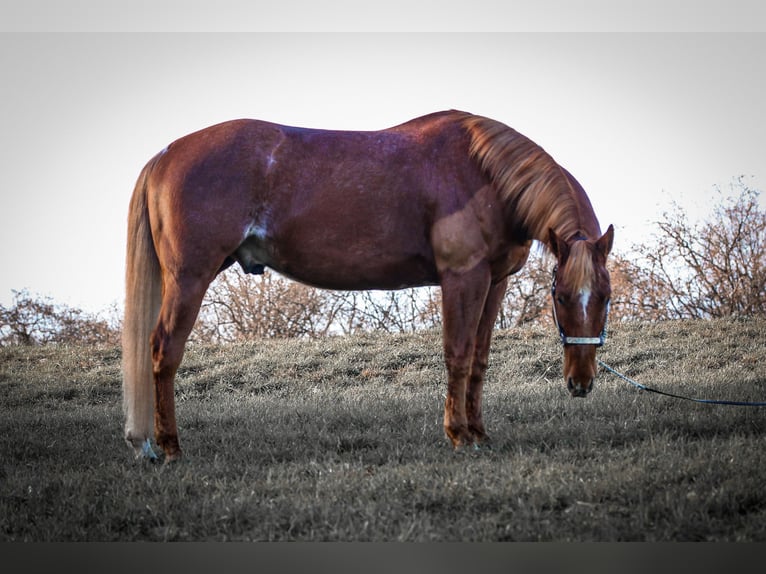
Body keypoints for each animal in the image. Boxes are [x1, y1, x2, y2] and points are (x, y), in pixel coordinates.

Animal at [122, 110, 614, 462]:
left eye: (605, 298)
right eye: (562, 297)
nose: (581, 383)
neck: (483, 173)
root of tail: (166, 154)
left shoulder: (493, 283)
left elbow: (478, 359)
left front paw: (478, 432)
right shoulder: (463, 278)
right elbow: (457, 355)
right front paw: (458, 435)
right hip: (189, 278)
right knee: (164, 350)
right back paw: (168, 446)